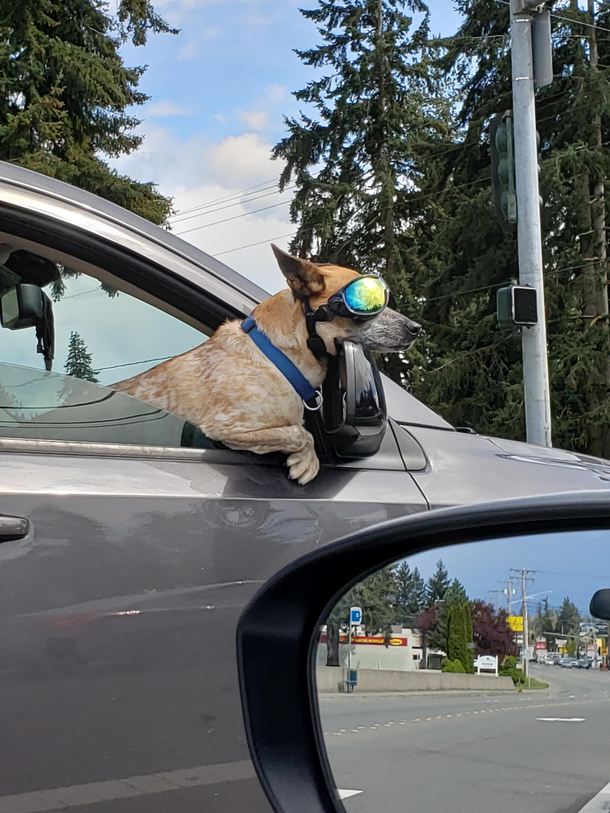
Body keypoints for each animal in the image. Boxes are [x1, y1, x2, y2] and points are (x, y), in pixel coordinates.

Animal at [111, 246, 420, 482]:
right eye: (367, 301)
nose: (416, 328)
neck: (279, 359)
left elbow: (299, 430)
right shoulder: (228, 428)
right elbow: (299, 432)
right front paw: (307, 460)